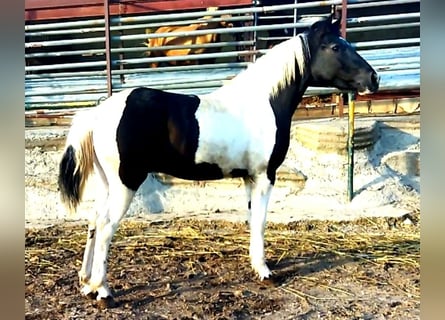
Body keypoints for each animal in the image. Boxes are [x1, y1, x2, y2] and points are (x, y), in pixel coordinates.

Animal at [58, 14, 378, 304]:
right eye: (335, 47)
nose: (373, 79)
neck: (264, 103)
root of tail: (97, 113)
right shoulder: (265, 176)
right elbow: (261, 220)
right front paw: (265, 272)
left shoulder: (250, 177)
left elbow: (252, 218)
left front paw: (256, 265)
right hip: (126, 182)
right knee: (106, 227)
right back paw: (104, 291)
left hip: (107, 183)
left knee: (94, 221)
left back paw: (87, 284)